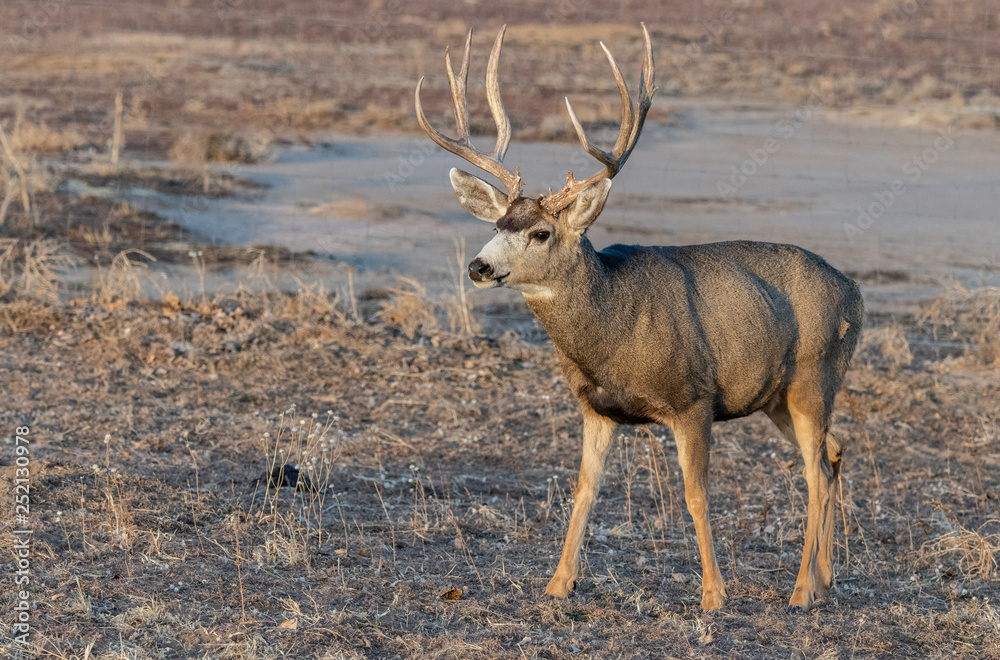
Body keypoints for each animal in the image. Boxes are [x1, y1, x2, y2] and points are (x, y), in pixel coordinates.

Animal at [415, 24, 863, 612]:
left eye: (541, 232)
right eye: (496, 223)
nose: (479, 265)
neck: (615, 330)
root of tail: (855, 293)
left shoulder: (693, 398)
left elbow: (695, 494)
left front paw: (713, 594)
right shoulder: (596, 408)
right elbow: (584, 489)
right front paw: (558, 584)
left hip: (814, 375)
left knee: (813, 470)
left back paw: (802, 590)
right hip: (777, 398)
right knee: (833, 453)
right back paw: (826, 579)